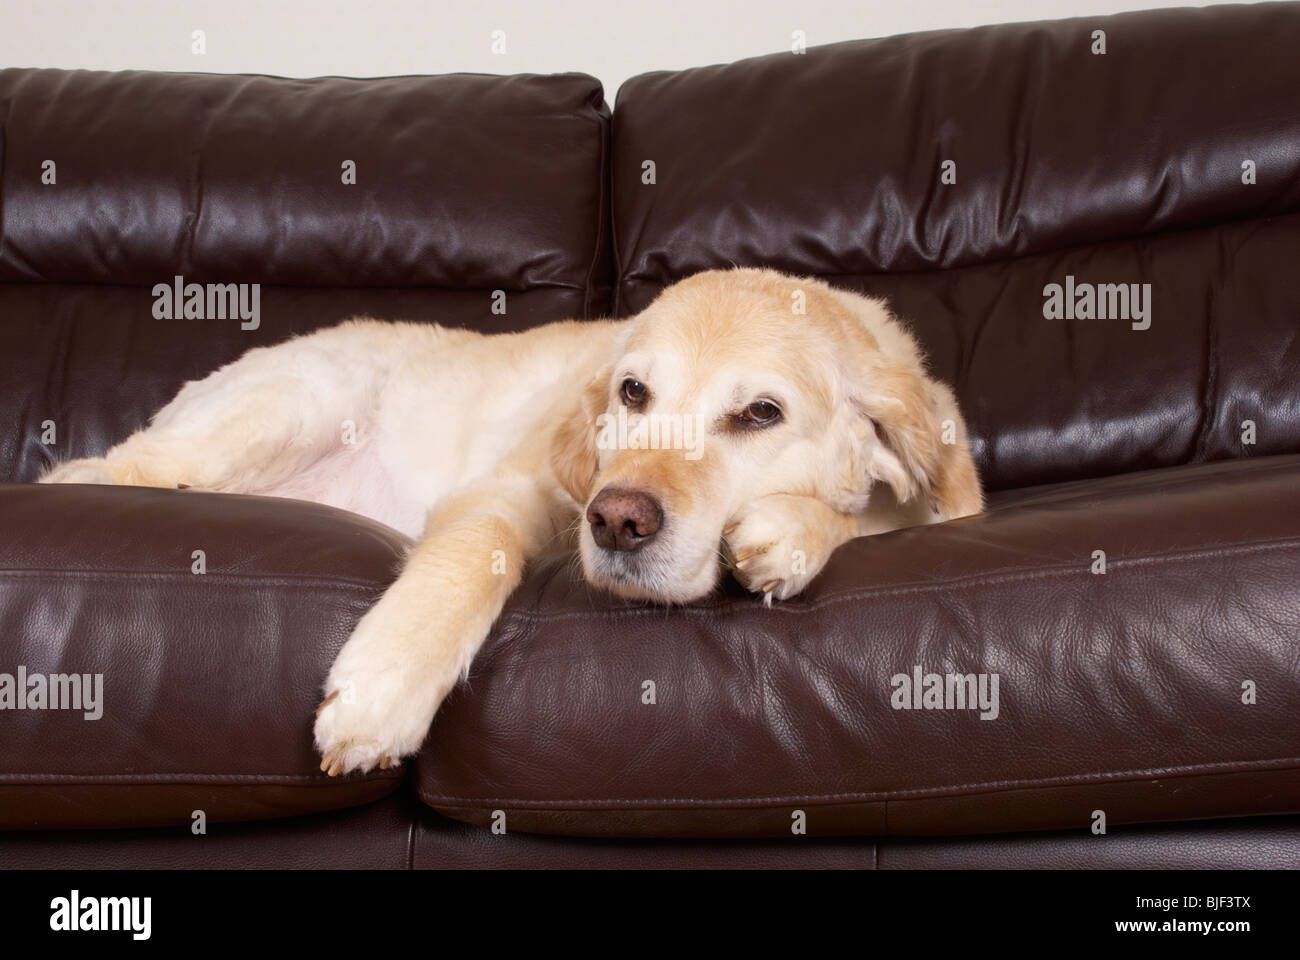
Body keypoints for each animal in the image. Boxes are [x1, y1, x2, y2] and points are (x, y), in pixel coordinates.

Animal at [43, 267, 982, 770]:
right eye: (632, 393)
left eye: (760, 414)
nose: (616, 521)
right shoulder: (508, 493)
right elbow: (475, 552)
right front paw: (383, 688)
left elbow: (884, 518)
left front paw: (788, 531)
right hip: (295, 403)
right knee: (94, 471)